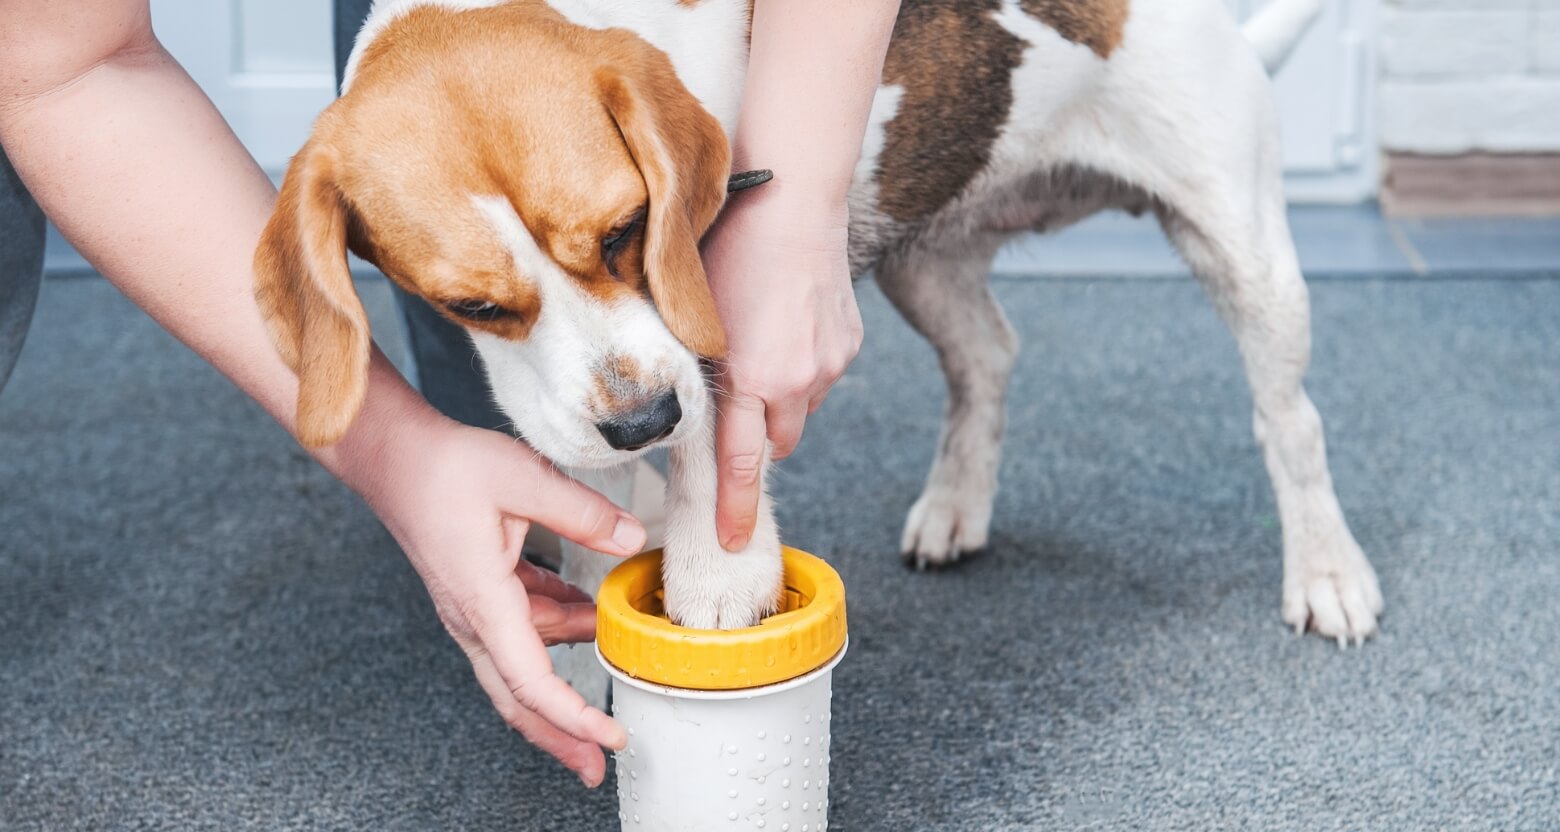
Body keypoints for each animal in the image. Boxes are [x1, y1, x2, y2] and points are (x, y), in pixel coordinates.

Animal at [252, 0, 1379, 699]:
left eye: (626, 231)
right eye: (472, 304)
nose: (643, 423)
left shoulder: (717, 291)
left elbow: (719, 431)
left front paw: (718, 565)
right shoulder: (569, 397)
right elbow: (590, 497)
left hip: (1241, 246)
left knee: (1293, 421)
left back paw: (1327, 570)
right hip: (915, 252)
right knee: (988, 353)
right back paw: (957, 502)